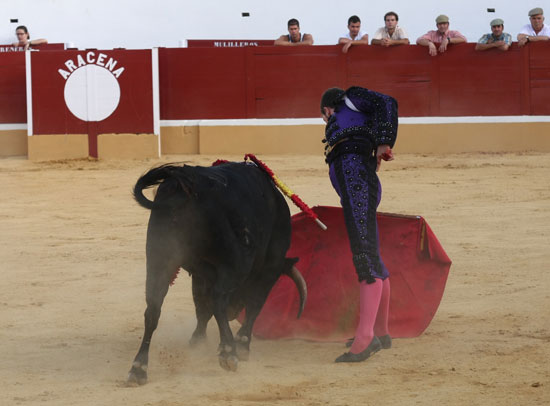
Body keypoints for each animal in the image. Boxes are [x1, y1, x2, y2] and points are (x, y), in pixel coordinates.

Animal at [126, 161, 308, 384]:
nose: (233, 312)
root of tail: (188, 185)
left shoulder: (199, 273)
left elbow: (201, 307)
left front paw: (197, 340)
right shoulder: (269, 268)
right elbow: (254, 303)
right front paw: (241, 344)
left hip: (160, 257)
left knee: (153, 308)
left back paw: (139, 368)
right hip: (235, 262)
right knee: (219, 299)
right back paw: (229, 352)